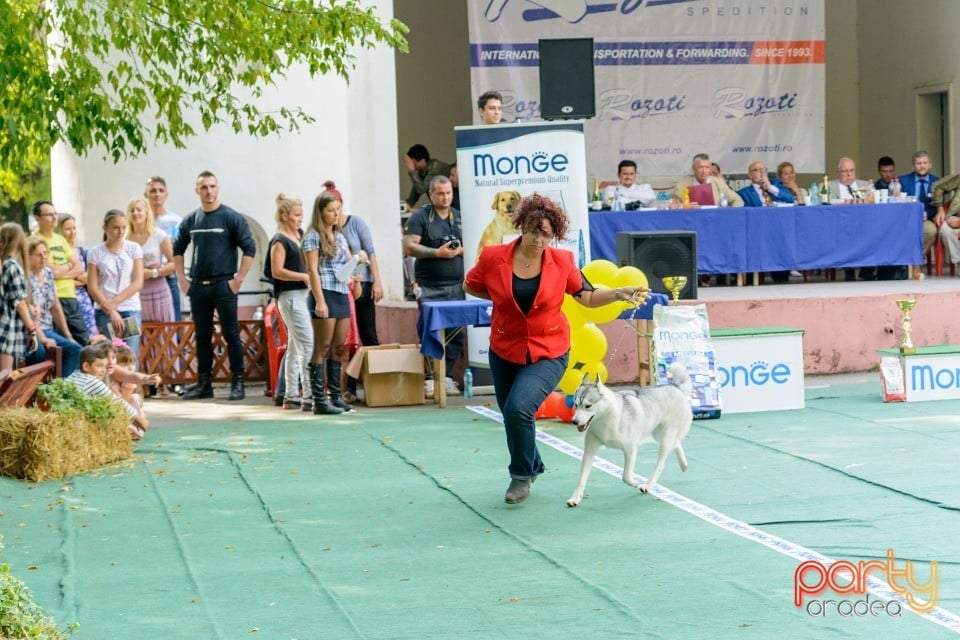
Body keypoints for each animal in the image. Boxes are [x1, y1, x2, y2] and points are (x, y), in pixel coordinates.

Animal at [568, 362, 692, 508]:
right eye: (576, 405)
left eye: (588, 406)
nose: (574, 421)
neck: (606, 418)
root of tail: (675, 386)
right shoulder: (589, 451)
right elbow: (581, 479)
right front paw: (575, 498)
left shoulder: (630, 449)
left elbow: (626, 476)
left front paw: (636, 482)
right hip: (658, 434)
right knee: (676, 443)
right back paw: (683, 464)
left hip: (666, 436)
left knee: (661, 463)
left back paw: (648, 485)